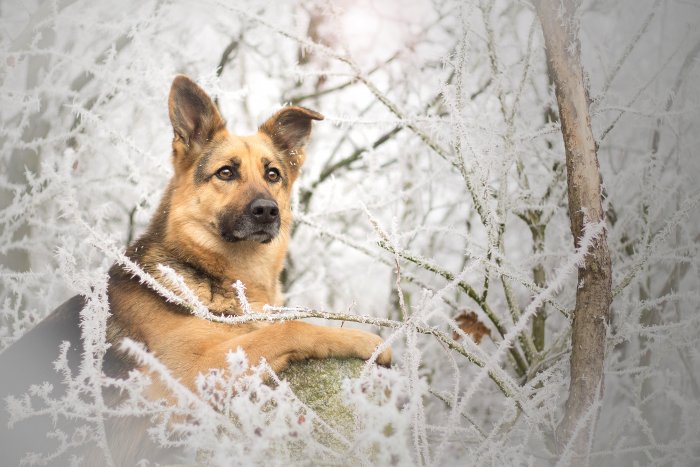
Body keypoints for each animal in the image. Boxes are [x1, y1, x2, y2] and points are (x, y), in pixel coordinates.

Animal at [0, 76, 392, 464]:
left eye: (272, 174)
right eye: (226, 172)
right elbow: (288, 328)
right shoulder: (189, 375)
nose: (267, 210)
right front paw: (367, 341)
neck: (217, 276)